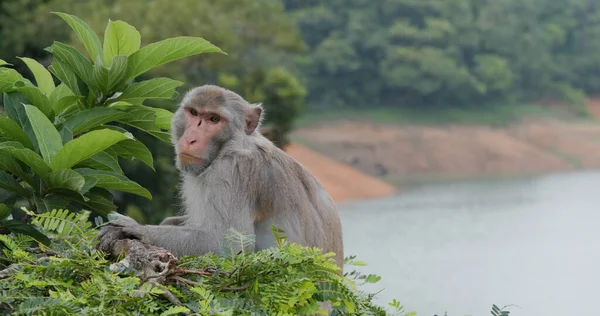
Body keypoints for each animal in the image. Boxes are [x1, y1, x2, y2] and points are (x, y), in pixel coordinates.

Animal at [96, 84, 344, 270]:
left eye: (214, 119)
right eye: (194, 113)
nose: (192, 139)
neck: (227, 147)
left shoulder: (232, 171)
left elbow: (226, 244)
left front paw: (135, 229)